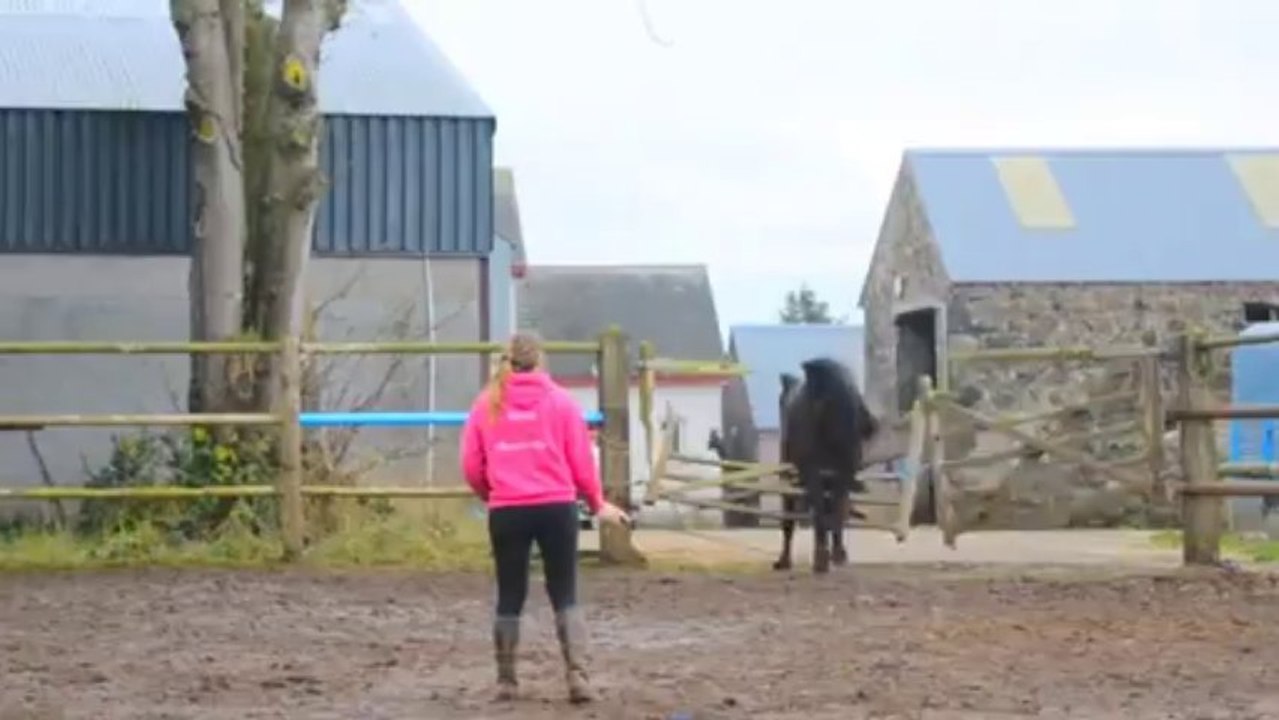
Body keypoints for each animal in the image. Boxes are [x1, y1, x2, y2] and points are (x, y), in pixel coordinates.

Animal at [773, 357, 880, 574]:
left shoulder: (798, 479)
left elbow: (795, 520)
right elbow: (829, 515)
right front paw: (832, 555)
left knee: (820, 514)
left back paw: (820, 558)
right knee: (831, 511)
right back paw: (831, 555)